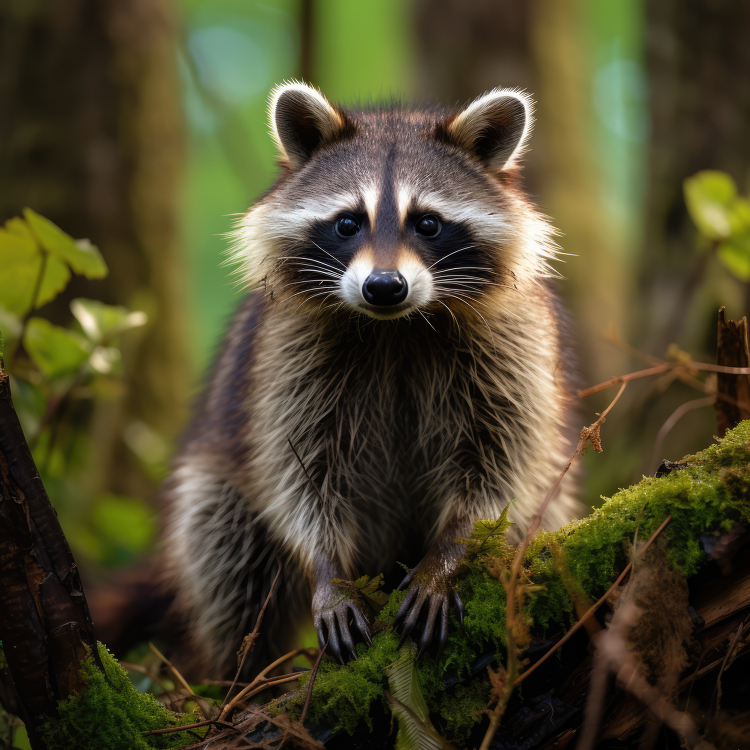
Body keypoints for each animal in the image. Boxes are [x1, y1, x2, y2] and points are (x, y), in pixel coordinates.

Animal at [164, 82, 584, 680]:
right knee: (227, 555)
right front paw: (328, 571)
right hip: (220, 482)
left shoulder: (512, 344)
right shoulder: (286, 354)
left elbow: (501, 462)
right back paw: (245, 676)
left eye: (427, 223)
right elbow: (299, 470)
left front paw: (449, 556)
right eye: (348, 223)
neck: (395, 327)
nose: (384, 286)